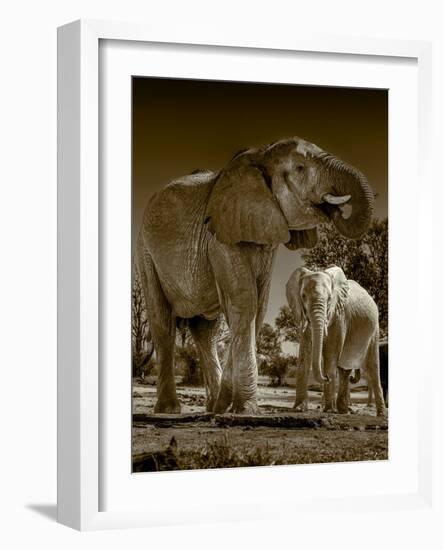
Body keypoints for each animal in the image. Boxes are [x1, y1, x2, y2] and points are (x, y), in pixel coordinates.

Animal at [138, 138, 374, 414]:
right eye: (300, 168)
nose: (334, 209)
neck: (259, 156)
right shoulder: (220, 235)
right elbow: (245, 301)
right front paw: (246, 410)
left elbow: (258, 306)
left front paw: (229, 407)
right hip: (145, 253)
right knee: (162, 323)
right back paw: (170, 409)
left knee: (206, 332)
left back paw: (212, 408)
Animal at [288, 268, 386, 418]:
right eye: (303, 296)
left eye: (329, 298)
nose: (326, 377)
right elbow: (305, 351)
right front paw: (299, 409)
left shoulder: (340, 315)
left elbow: (331, 352)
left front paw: (329, 410)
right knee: (344, 368)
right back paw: (344, 410)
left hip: (374, 329)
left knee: (372, 367)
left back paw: (381, 414)